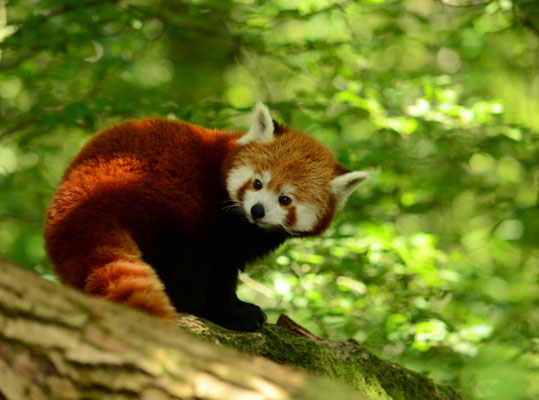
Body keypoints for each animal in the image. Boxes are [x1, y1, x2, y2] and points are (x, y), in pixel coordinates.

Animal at [45, 103, 368, 332]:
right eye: (257, 183)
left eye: (285, 199)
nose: (258, 210)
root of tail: (86, 199)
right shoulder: (220, 223)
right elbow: (220, 270)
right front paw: (235, 313)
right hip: (163, 205)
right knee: (189, 261)